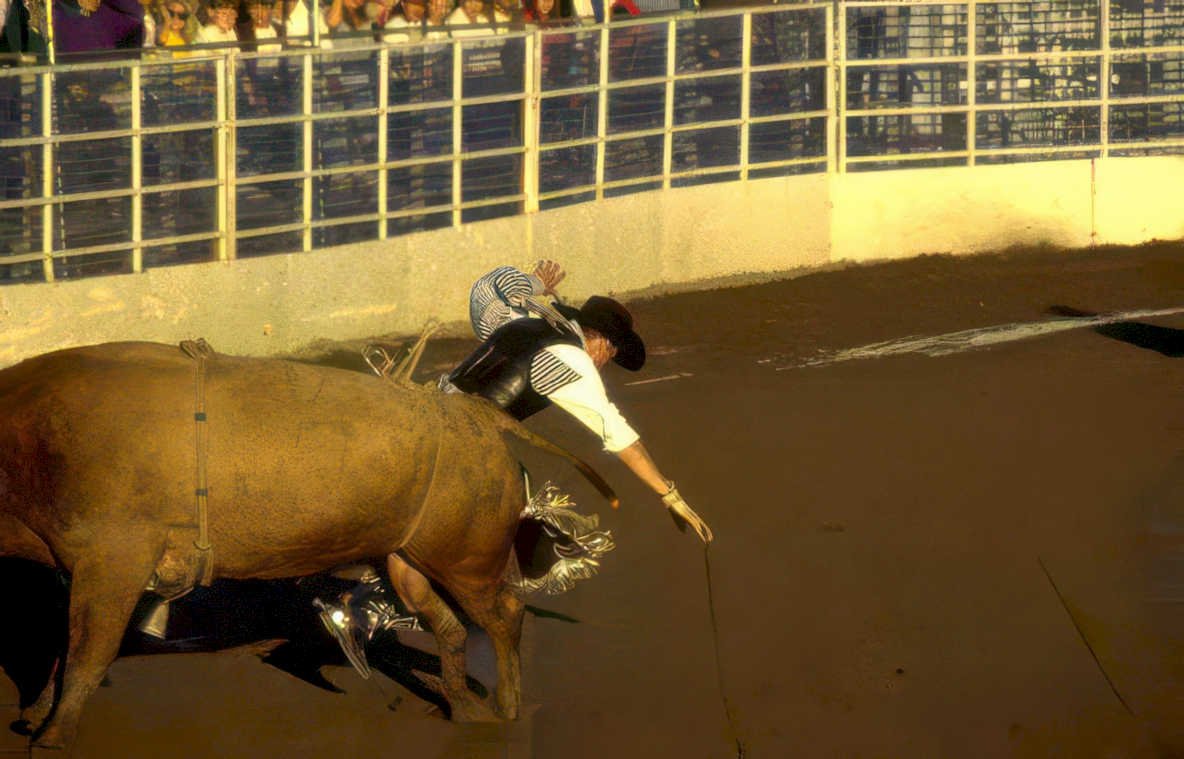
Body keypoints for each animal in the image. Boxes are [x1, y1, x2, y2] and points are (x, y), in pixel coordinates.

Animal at [0, 340, 616, 749]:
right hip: (405, 562)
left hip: (468, 561)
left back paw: (508, 707)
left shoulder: (115, 561)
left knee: (504, 614)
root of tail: (479, 417)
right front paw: (36, 713)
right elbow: (64, 645)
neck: (34, 438)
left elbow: (87, 651)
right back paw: (464, 705)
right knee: (449, 626)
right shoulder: (83, 570)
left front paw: (52, 733)